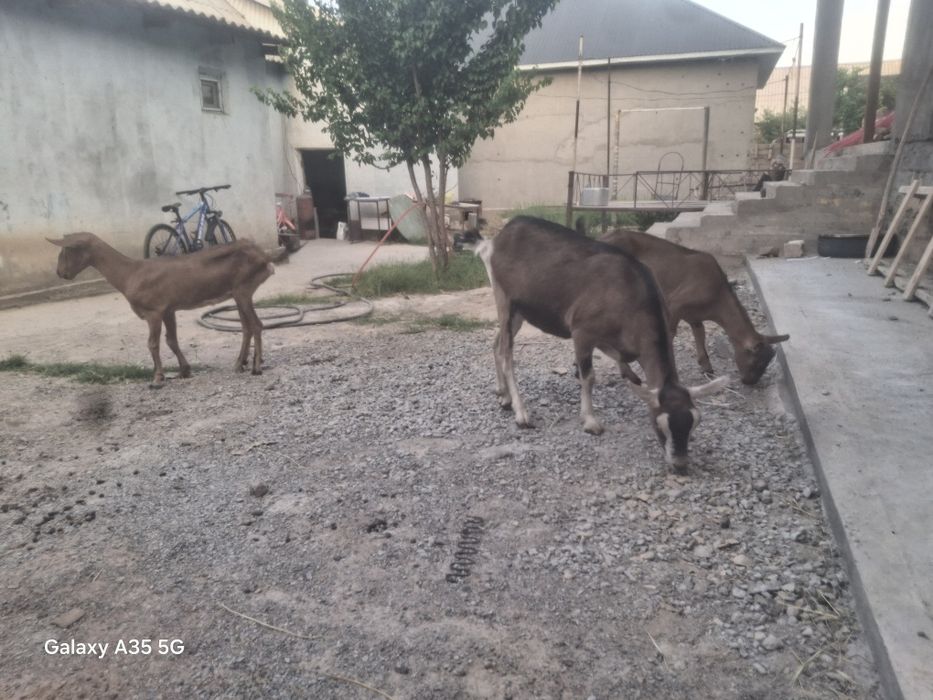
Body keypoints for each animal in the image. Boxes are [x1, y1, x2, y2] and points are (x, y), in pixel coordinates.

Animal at [48, 232, 274, 387]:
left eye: (66, 250)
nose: (60, 272)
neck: (129, 274)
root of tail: (265, 259)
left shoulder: (153, 311)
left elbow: (153, 343)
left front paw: (157, 378)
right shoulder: (168, 309)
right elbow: (171, 340)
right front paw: (184, 371)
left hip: (243, 289)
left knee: (256, 325)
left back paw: (256, 367)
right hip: (238, 292)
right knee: (246, 327)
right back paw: (239, 364)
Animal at [456, 217, 728, 472]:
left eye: (695, 422)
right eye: (661, 424)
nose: (680, 465)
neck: (631, 295)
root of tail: (493, 241)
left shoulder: (612, 341)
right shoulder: (582, 331)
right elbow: (588, 377)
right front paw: (590, 422)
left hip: (521, 311)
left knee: (496, 346)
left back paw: (503, 396)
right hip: (504, 298)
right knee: (507, 353)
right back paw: (521, 413)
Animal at [596, 227, 789, 384]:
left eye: (767, 362)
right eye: (756, 361)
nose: (749, 382)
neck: (718, 298)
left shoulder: (694, 316)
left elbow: (700, 334)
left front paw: (707, 367)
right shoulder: (675, 304)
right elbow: (670, 335)